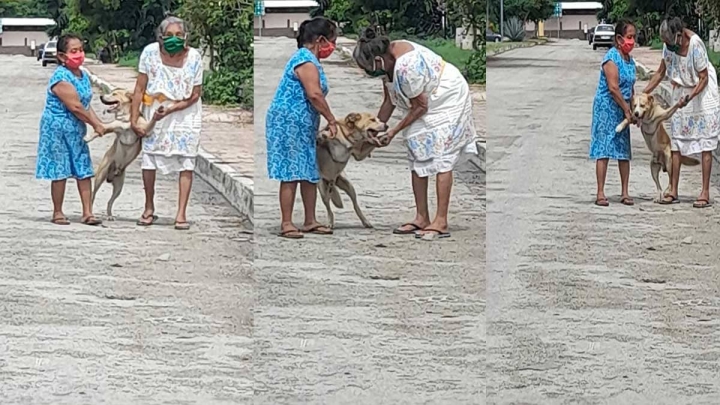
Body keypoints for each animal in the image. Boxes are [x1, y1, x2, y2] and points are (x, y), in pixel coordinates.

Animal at [84, 89, 165, 218]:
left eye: (114, 94)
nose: (101, 96)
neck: (127, 118)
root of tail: (111, 176)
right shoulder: (110, 127)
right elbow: (98, 131)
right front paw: (88, 138)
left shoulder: (144, 130)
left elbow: (151, 123)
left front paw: (157, 114)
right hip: (100, 177)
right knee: (93, 195)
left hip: (119, 187)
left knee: (110, 201)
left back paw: (110, 215)